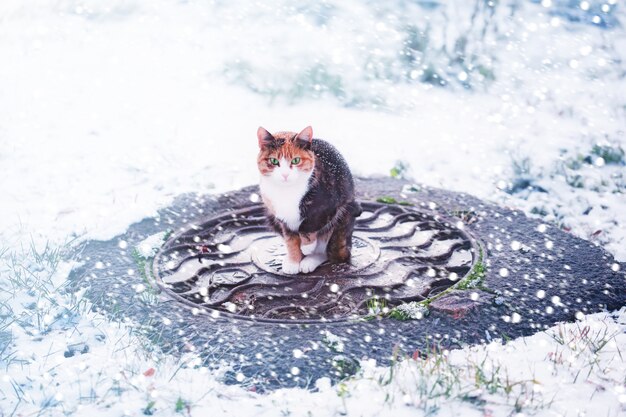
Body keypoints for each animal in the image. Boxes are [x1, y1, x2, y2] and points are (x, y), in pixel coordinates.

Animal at [255, 125, 360, 274]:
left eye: (296, 160)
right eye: (274, 161)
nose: (285, 175)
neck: (287, 192)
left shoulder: (327, 206)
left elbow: (309, 225)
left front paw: (307, 246)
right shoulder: (281, 217)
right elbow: (290, 239)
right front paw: (293, 262)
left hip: (344, 217)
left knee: (326, 249)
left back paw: (310, 260)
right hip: (270, 217)